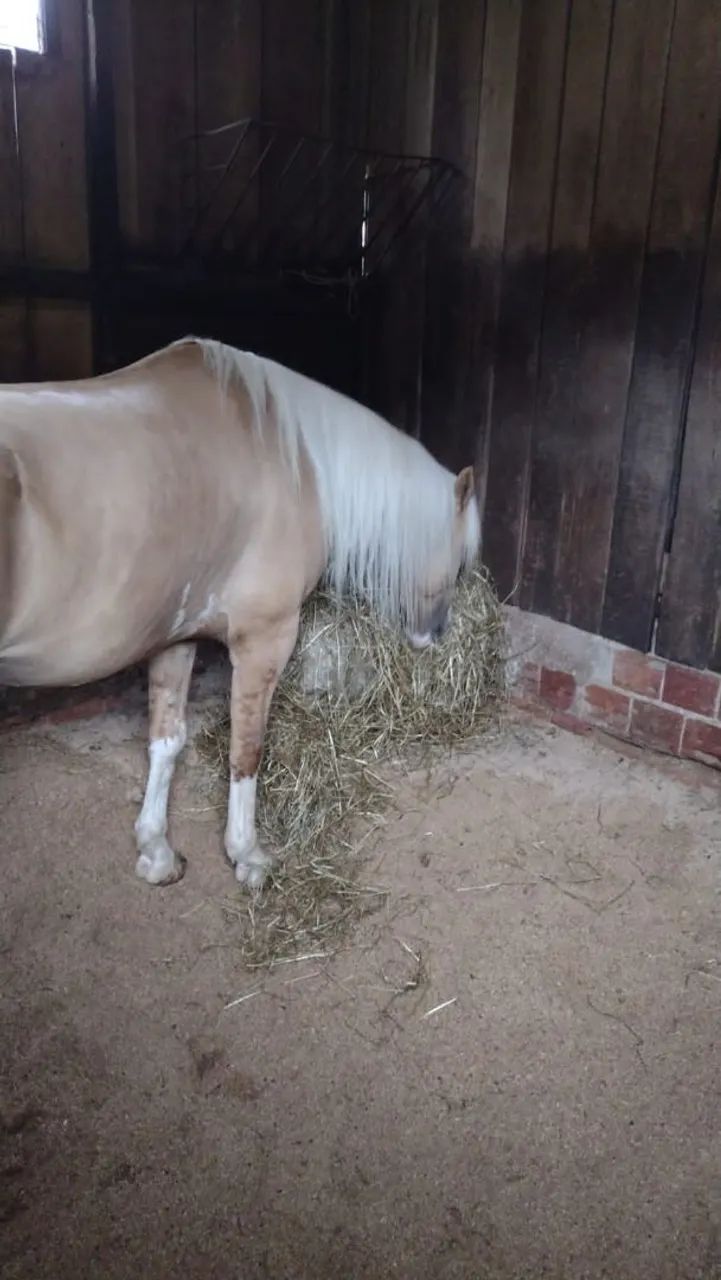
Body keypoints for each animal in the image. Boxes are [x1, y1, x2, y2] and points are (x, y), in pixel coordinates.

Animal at [0, 337, 481, 889]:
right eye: (460, 561)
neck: (295, 462)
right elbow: (246, 750)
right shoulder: (264, 640)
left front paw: (157, 851)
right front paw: (247, 855)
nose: (433, 636)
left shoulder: (175, 638)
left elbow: (167, 740)